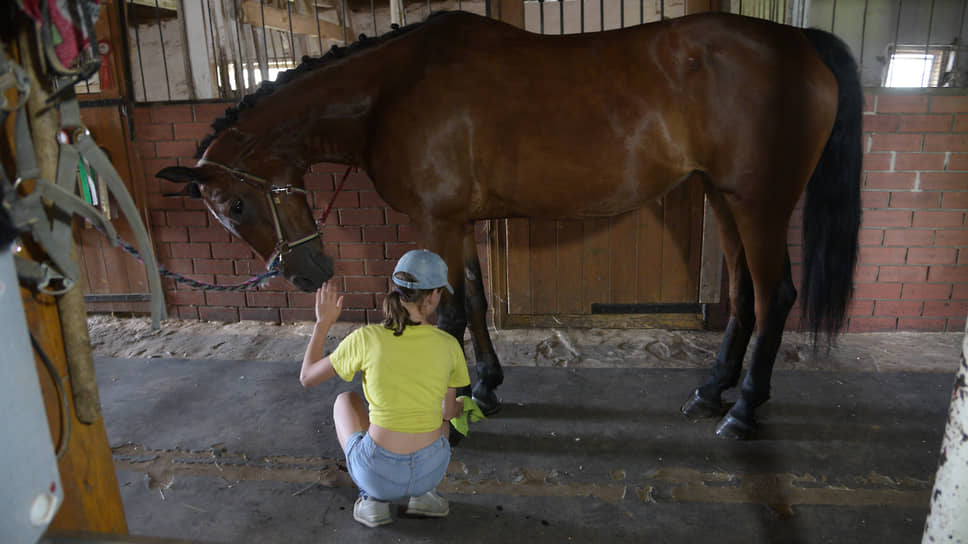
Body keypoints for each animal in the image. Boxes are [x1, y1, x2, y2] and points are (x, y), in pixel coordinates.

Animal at [159, 10, 864, 440]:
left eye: (234, 206)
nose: (309, 273)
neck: (391, 90)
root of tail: (800, 42)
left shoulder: (435, 218)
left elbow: (445, 313)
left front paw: (452, 412)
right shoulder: (459, 220)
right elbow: (471, 300)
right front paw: (487, 386)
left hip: (759, 204)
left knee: (775, 297)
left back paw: (742, 411)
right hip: (723, 200)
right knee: (744, 296)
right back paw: (712, 392)